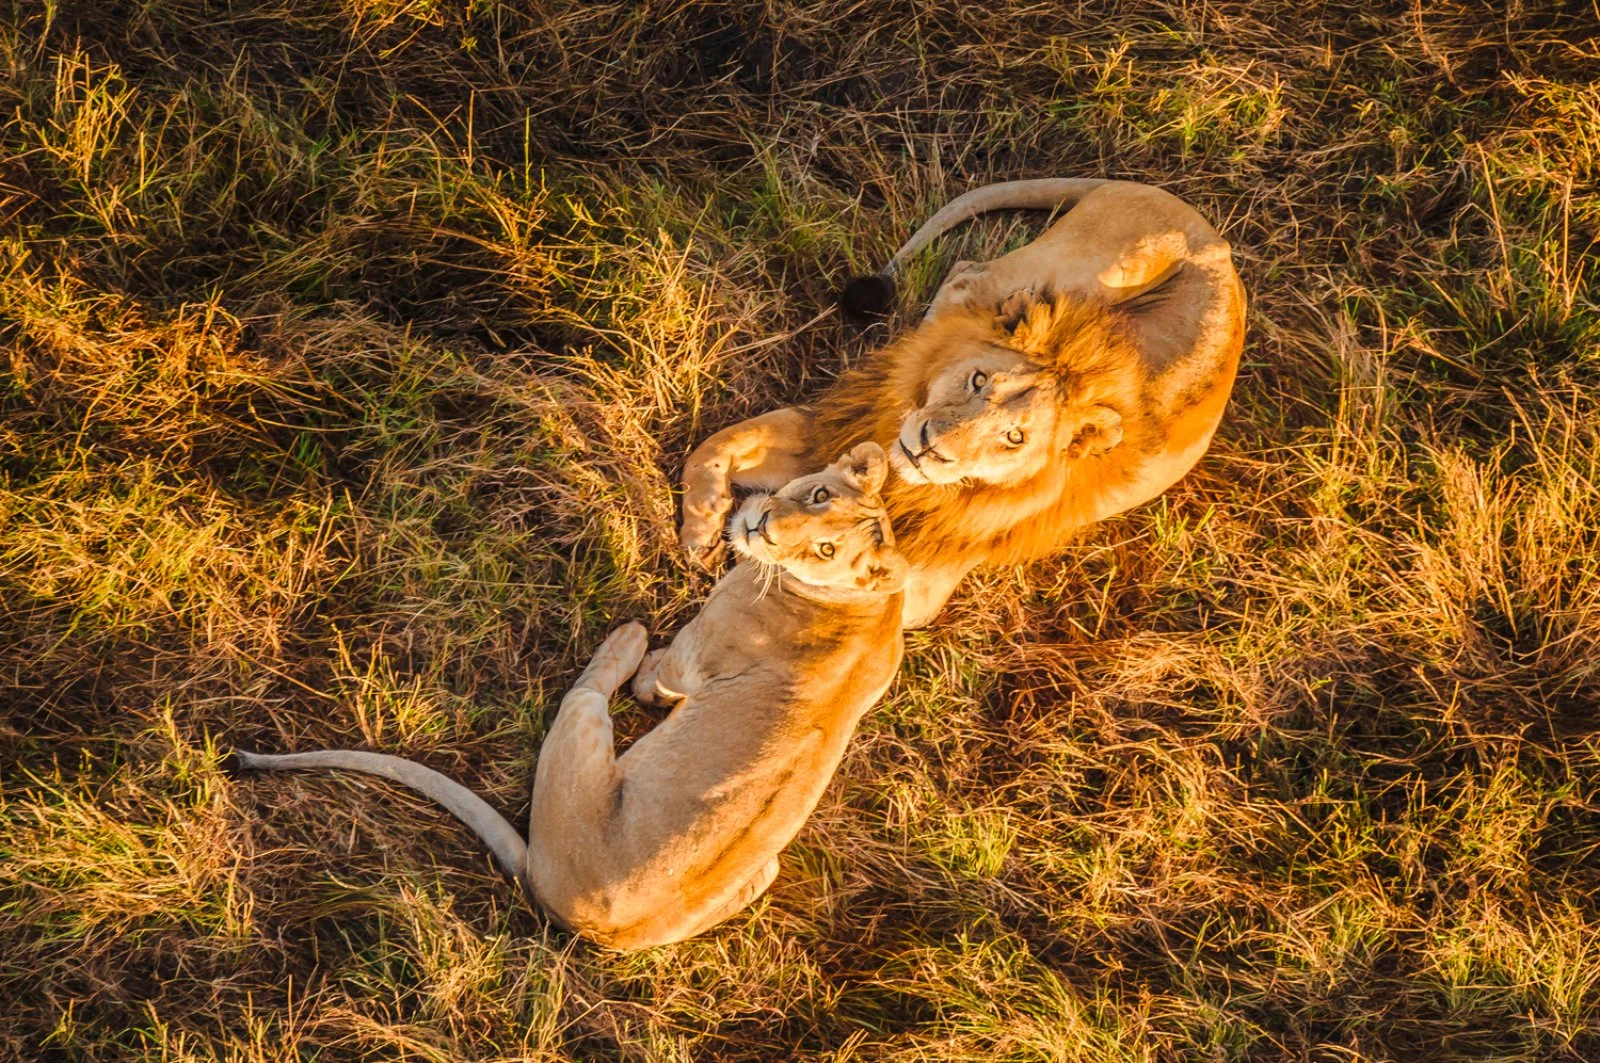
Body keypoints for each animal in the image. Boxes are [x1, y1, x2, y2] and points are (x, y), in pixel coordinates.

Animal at [232, 445, 908, 947]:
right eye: (819, 497)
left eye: (824, 547)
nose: (764, 525)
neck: (872, 605)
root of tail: (550, 895)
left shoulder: (693, 658)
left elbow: (657, 680)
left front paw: (644, 668)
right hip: (764, 869)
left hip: (580, 722)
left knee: (590, 687)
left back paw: (627, 638)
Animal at [681, 178, 1241, 627]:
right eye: (978, 380)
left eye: (1014, 438)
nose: (931, 448)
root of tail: (1214, 237)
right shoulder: (829, 425)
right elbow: (715, 446)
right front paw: (705, 522)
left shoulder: (920, 588)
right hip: (1089, 269)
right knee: (969, 272)